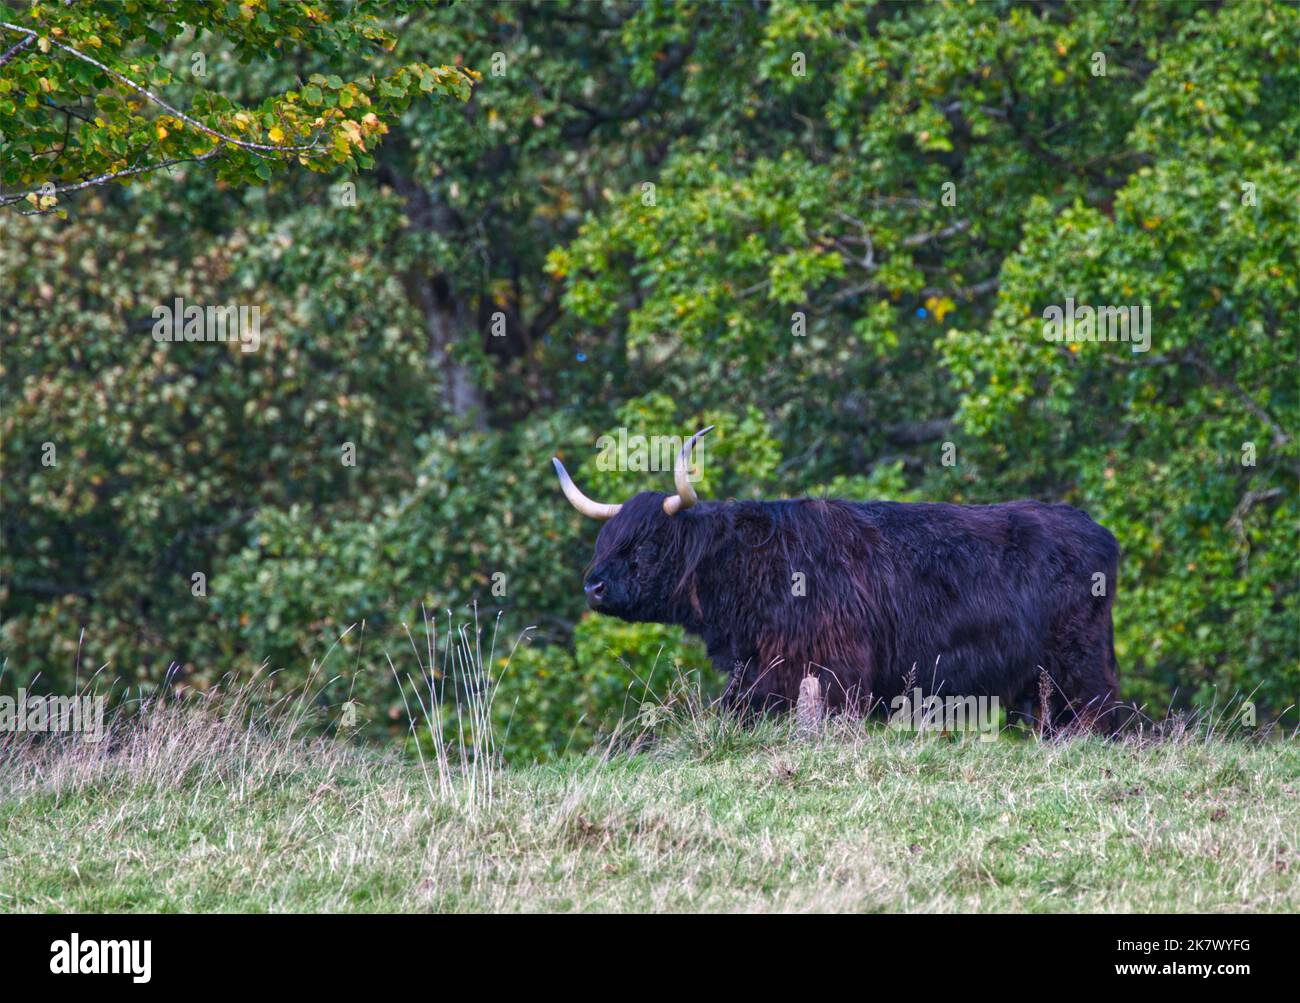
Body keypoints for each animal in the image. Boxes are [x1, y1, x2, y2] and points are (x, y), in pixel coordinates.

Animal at [553, 427, 1123, 735]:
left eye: (647, 544)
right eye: (605, 543)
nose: (593, 588)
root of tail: (1098, 531)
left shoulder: (832, 666)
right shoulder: (756, 674)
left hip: (1077, 663)